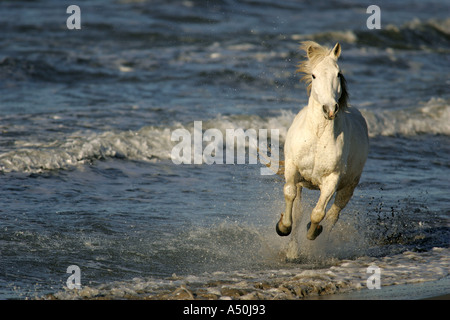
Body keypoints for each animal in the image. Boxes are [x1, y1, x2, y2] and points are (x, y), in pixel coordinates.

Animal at [278, 40, 370, 240]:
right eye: (314, 75)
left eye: (338, 73)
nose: (330, 109)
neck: (318, 136)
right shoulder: (293, 168)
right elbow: (289, 195)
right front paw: (282, 227)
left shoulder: (331, 180)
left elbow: (318, 213)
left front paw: (313, 232)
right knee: (298, 211)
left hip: (348, 187)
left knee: (333, 214)